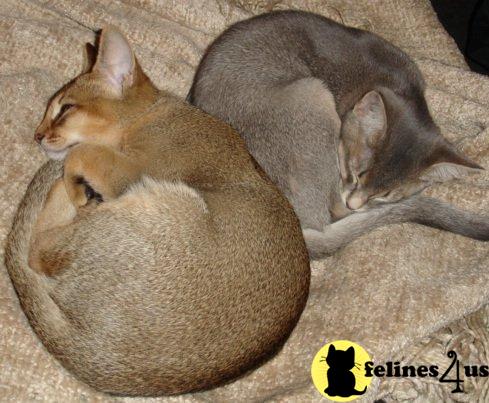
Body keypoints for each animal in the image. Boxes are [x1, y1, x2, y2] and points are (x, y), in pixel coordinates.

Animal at [3, 26, 308, 396]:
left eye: (65, 109)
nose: (37, 136)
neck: (151, 114)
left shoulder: (134, 170)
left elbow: (81, 155)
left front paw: (77, 188)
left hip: (170, 204)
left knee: (39, 249)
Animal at [190, 11, 488, 262]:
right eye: (354, 172)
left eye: (385, 194)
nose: (355, 203)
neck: (396, 85)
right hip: (312, 92)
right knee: (333, 211)